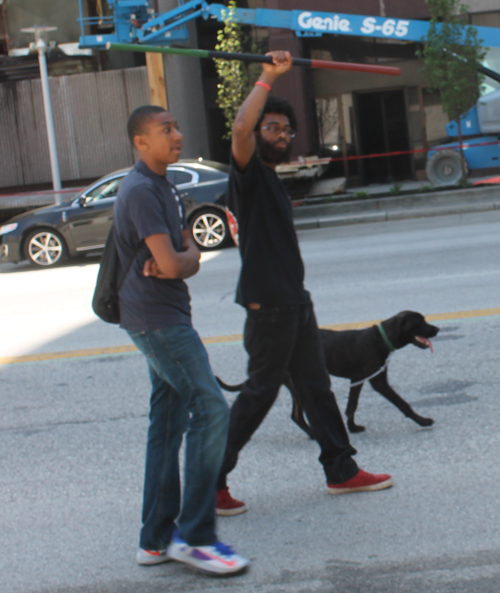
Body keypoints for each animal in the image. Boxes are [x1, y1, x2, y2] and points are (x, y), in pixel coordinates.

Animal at [217, 310, 440, 434]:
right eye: (419, 322)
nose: (437, 329)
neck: (380, 338)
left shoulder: (358, 379)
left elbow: (352, 405)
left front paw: (352, 427)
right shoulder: (378, 382)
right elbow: (402, 403)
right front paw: (422, 420)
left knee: (296, 416)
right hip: (298, 385)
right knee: (297, 416)